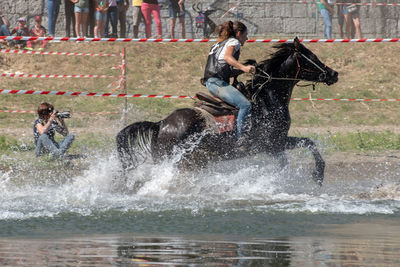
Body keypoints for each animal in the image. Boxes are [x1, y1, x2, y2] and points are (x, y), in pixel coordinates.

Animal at [117, 38, 340, 186]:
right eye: (312, 57)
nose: (333, 73)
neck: (268, 99)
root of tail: (161, 124)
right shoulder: (273, 142)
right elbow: (309, 143)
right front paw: (318, 175)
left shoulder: (275, 145)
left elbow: (292, 155)